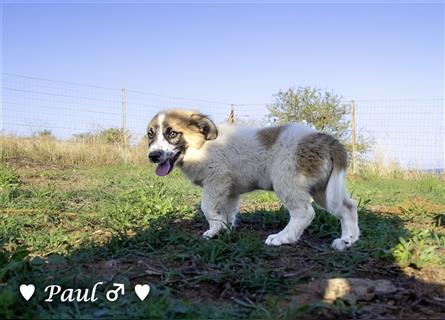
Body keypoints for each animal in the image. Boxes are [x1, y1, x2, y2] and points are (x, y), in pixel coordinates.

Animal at [147, 109, 360, 251]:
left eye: (172, 134)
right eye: (150, 134)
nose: (153, 156)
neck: (201, 147)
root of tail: (325, 139)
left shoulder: (216, 180)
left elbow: (206, 208)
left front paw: (214, 228)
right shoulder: (230, 191)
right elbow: (228, 212)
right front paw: (223, 229)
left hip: (287, 182)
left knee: (304, 213)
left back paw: (283, 237)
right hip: (323, 190)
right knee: (348, 207)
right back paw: (348, 240)